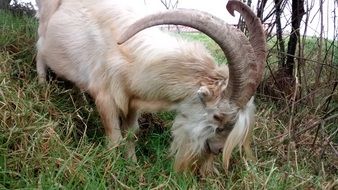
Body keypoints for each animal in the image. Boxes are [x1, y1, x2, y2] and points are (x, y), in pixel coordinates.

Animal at [35, 0, 266, 176]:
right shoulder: (105, 97)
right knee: (40, 46)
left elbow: (131, 134)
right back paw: (42, 85)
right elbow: (115, 138)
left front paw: (132, 165)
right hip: (46, 22)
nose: (217, 149)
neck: (134, 60)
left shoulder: (132, 102)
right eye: (218, 116)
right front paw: (113, 170)